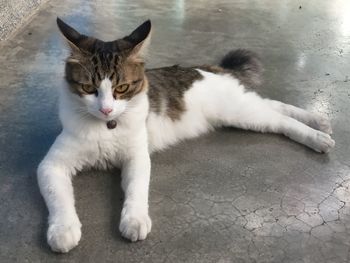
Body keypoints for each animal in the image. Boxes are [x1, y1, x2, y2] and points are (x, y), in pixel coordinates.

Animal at [37, 18, 334, 254]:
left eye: (121, 88)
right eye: (89, 88)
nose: (106, 109)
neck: (108, 126)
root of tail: (210, 69)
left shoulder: (137, 157)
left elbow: (136, 190)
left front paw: (134, 219)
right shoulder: (51, 166)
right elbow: (59, 198)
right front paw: (63, 230)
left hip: (242, 113)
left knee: (282, 120)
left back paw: (317, 136)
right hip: (242, 111)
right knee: (275, 106)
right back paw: (318, 120)